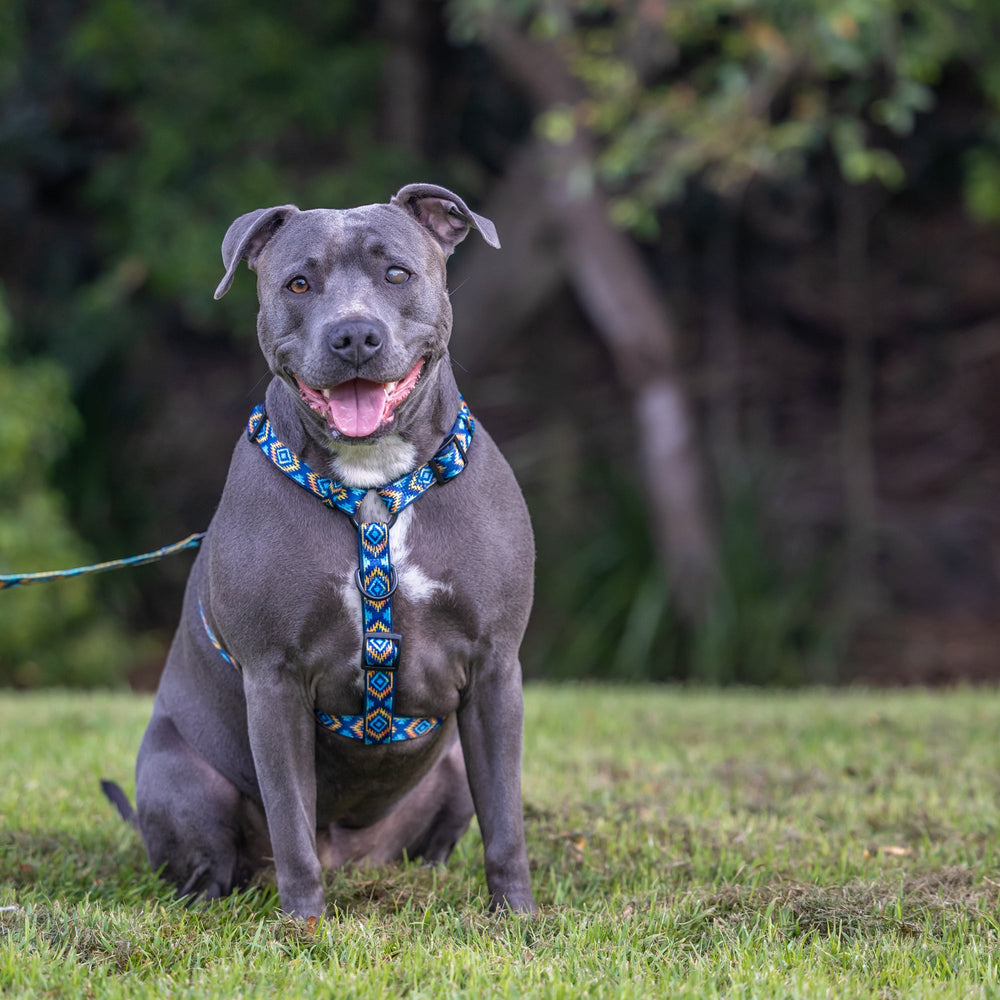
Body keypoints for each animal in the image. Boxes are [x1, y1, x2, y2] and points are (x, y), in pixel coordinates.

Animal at [104, 184, 536, 916]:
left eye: (397, 273)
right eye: (298, 283)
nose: (354, 334)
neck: (374, 484)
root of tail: (356, 860)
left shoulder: (495, 668)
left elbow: (505, 820)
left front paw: (516, 918)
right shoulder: (274, 680)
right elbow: (292, 823)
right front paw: (304, 924)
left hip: (450, 768)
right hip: (176, 772)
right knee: (222, 858)